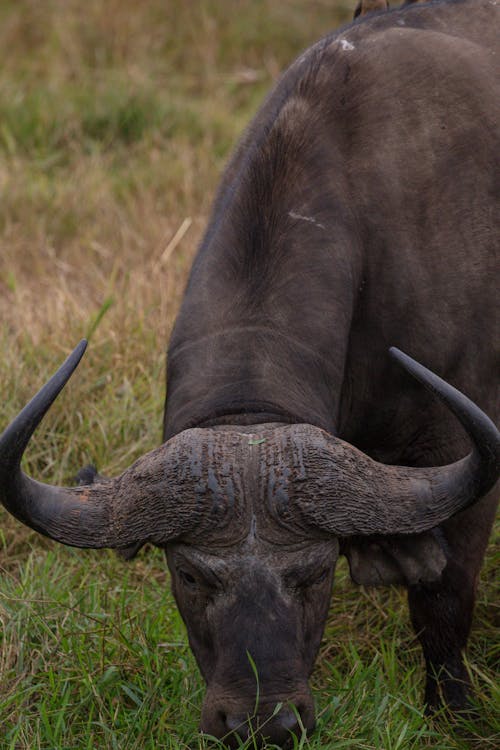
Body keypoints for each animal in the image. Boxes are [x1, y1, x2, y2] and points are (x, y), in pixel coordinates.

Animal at [0, 0, 500, 748]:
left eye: (315, 573)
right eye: (190, 575)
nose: (263, 721)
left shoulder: (454, 450)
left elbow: (443, 599)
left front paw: (454, 715)